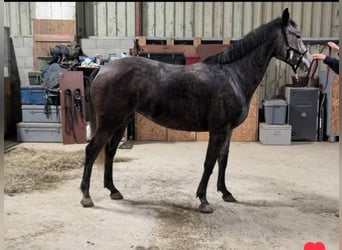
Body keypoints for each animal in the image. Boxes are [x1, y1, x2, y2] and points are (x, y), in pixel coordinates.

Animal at [79, 8, 312, 214]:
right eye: (298, 36)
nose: (308, 64)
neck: (232, 75)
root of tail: (103, 69)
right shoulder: (218, 130)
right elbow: (209, 163)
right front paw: (203, 200)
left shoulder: (227, 130)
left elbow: (223, 160)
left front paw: (226, 193)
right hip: (108, 122)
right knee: (92, 150)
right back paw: (86, 196)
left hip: (121, 121)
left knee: (110, 151)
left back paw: (113, 190)